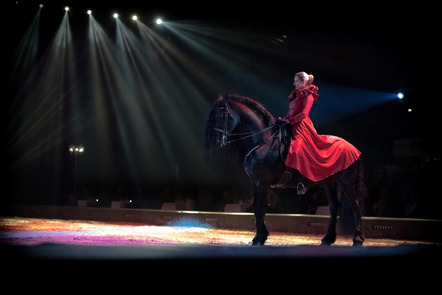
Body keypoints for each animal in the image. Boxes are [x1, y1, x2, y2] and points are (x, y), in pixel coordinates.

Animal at [207, 95, 366, 247]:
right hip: (330, 183)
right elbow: (256, 210)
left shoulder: (262, 183)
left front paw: (259, 238)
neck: (263, 142)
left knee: (355, 206)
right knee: (334, 208)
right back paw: (327, 239)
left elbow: (260, 210)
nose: (217, 141)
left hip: (346, 182)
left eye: (223, 115)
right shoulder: (256, 184)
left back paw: (357, 239)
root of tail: (353, 148)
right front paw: (261, 236)